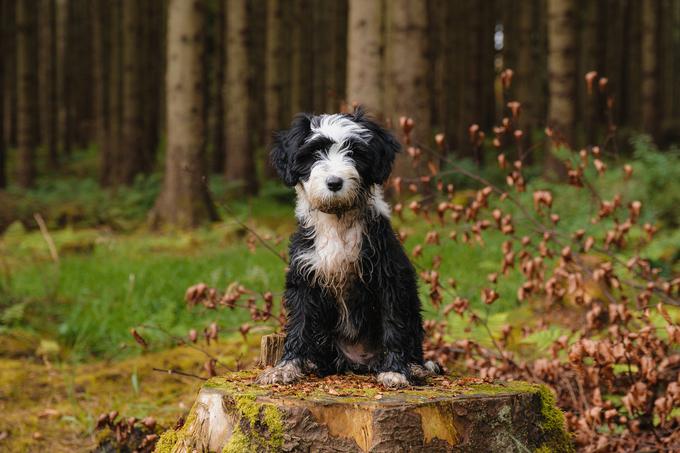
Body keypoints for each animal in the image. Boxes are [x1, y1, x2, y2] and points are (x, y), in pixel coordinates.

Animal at [255, 107, 436, 386]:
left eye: (354, 153)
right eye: (315, 153)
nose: (334, 182)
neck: (337, 220)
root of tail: (357, 361)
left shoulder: (389, 277)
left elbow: (393, 323)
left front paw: (395, 370)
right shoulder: (304, 276)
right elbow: (299, 325)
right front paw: (286, 367)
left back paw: (415, 367)